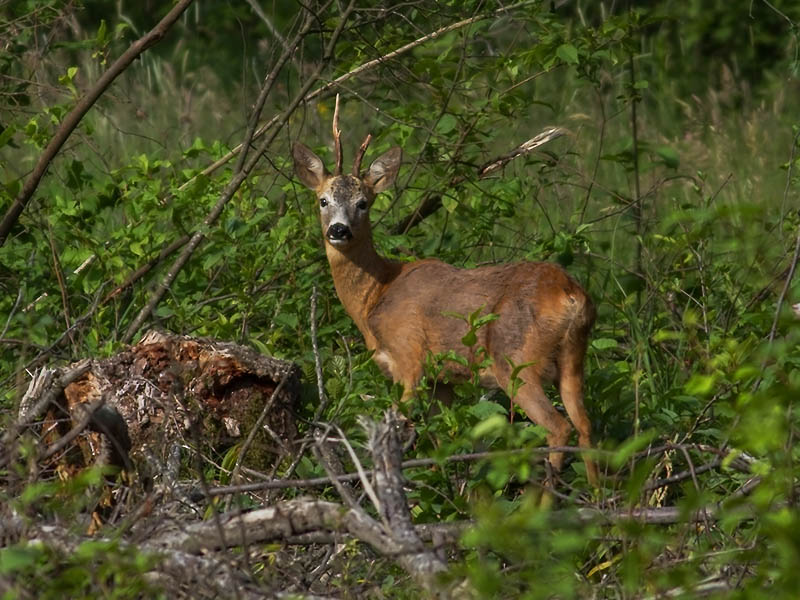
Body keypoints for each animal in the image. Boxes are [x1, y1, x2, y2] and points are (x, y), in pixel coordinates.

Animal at [290, 113, 596, 488]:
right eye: (323, 200)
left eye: (363, 203)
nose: (338, 230)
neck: (376, 296)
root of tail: (571, 295)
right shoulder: (443, 381)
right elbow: (443, 440)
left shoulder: (409, 358)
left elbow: (402, 428)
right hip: (573, 358)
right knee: (585, 426)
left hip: (517, 361)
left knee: (559, 427)